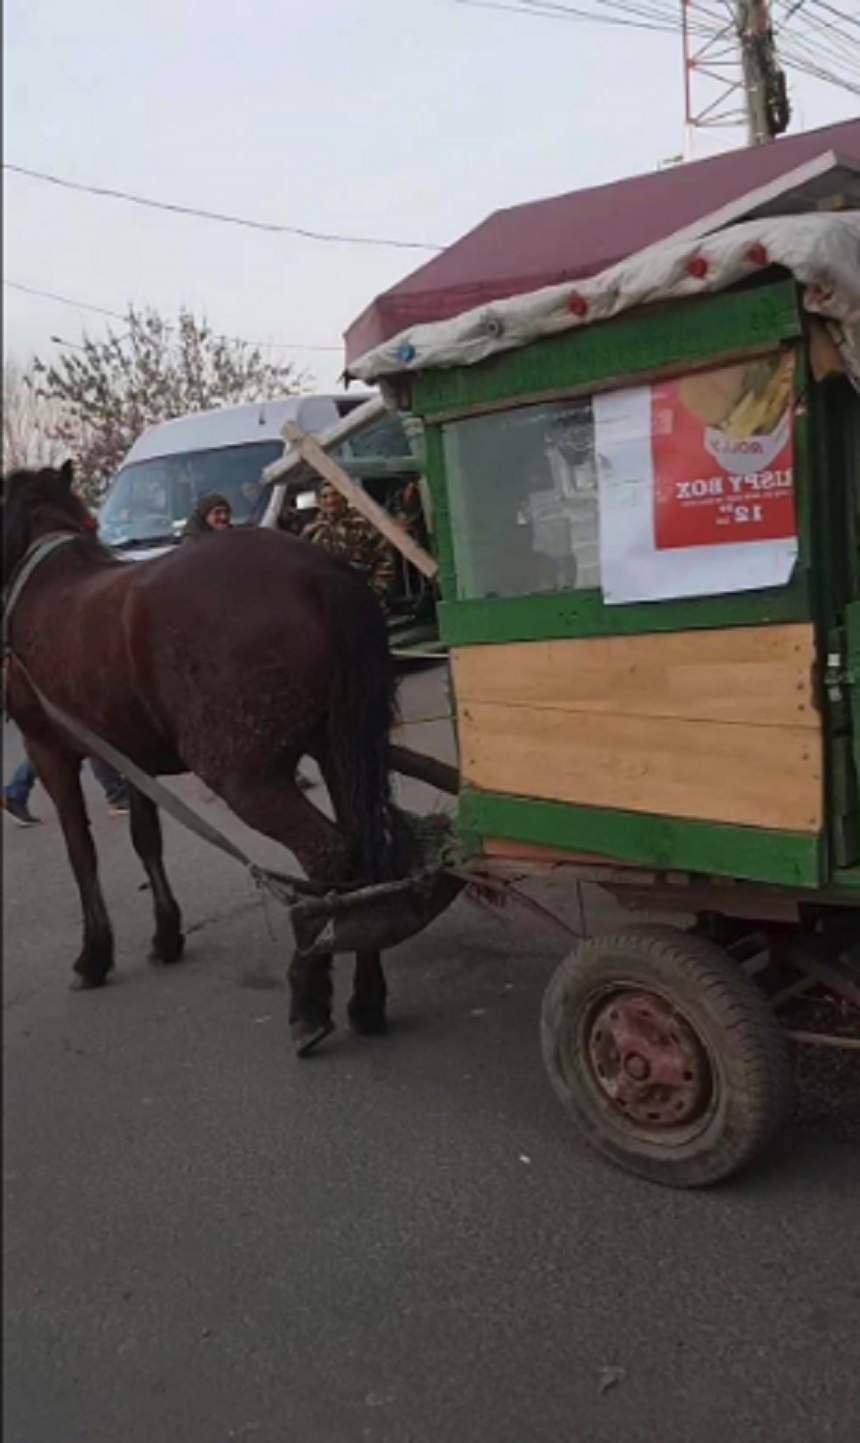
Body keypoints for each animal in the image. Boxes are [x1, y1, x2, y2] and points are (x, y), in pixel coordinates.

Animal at [2, 464, 401, 1062]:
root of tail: (316, 570)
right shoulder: (129, 756)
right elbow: (146, 840)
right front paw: (166, 934)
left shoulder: (49, 751)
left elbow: (81, 852)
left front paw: (94, 954)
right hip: (338, 749)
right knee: (363, 850)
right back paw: (366, 998)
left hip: (245, 776)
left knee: (327, 855)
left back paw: (309, 997)